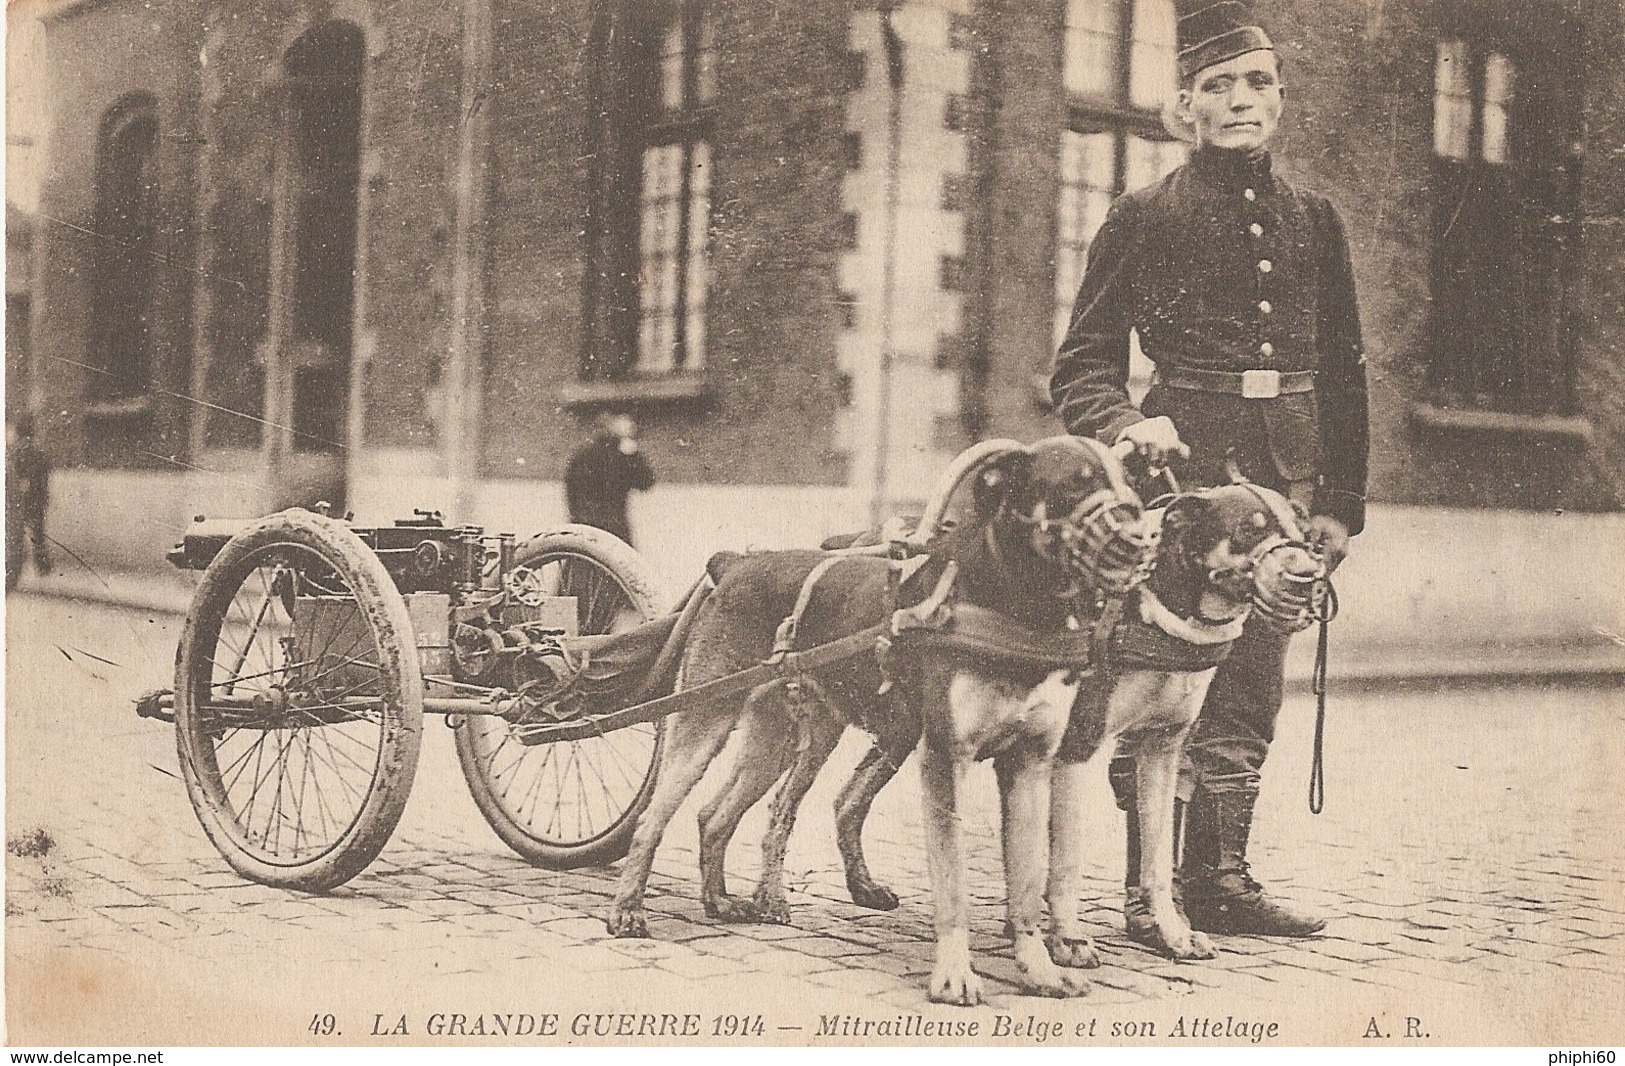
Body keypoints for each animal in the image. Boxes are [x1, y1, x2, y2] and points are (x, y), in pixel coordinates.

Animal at [607, 435, 1157, 1007]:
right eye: (1075, 482)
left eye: (1131, 481)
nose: (1143, 538)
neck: (1011, 604)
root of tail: (734, 564)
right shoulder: (945, 760)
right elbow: (953, 884)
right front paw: (954, 976)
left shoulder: (1029, 764)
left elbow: (1027, 883)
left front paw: (1039, 968)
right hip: (704, 721)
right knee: (654, 817)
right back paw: (628, 910)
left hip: (787, 735)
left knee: (716, 814)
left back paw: (720, 901)